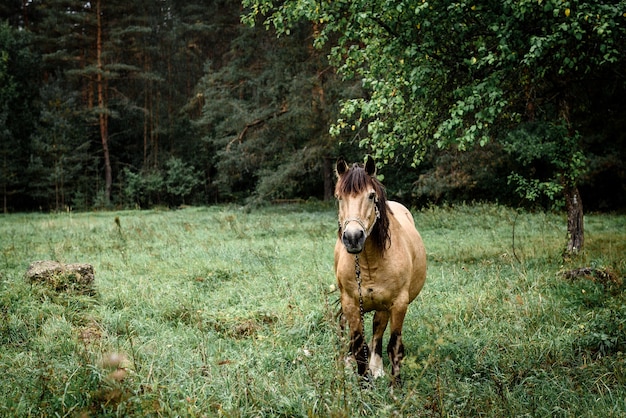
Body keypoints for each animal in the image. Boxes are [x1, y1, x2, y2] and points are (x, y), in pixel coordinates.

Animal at [334, 157, 426, 386]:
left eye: (371, 195)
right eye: (339, 197)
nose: (353, 237)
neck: (369, 263)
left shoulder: (398, 304)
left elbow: (394, 347)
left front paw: (395, 386)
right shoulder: (350, 303)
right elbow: (358, 346)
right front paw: (364, 383)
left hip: (384, 306)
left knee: (378, 330)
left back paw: (377, 368)